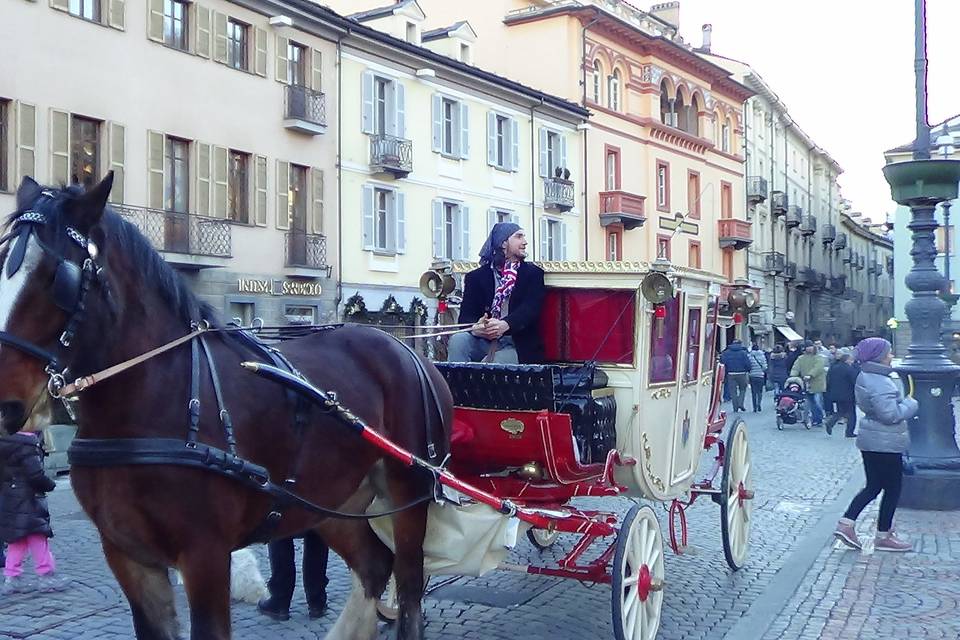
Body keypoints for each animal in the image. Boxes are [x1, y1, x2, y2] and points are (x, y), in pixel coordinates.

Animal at [0, 172, 454, 636]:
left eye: (56, 277)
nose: (6, 405)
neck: (154, 399)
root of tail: (409, 351)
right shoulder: (127, 555)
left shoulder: (205, 555)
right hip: (333, 502)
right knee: (374, 566)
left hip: (409, 492)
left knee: (409, 584)